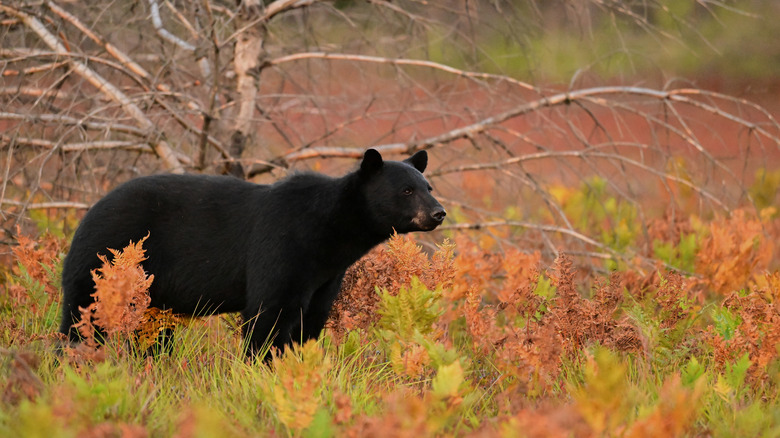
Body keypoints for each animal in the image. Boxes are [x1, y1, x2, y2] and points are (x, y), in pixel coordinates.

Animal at [59, 148, 446, 359]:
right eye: (407, 190)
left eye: (428, 186)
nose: (438, 212)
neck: (330, 232)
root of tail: (87, 214)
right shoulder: (282, 246)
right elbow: (269, 313)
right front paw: (259, 368)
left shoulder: (325, 275)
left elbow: (310, 321)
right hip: (108, 261)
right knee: (84, 316)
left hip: (151, 291)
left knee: (151, 331)